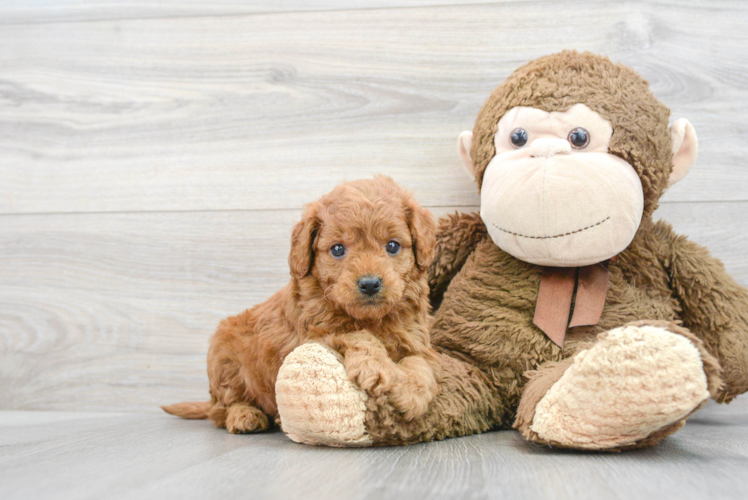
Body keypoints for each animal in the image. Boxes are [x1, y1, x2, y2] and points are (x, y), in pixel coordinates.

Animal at [162, 177, 438, 434]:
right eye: (338, 249)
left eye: (392, 245)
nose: (369, 284)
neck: (370, 318)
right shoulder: (314, 336)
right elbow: (356, 334)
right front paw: (376, 366)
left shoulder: (417, 341)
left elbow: (422, 364)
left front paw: (412, 393)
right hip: (223, 361)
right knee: (222, 409)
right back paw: (245, 416)